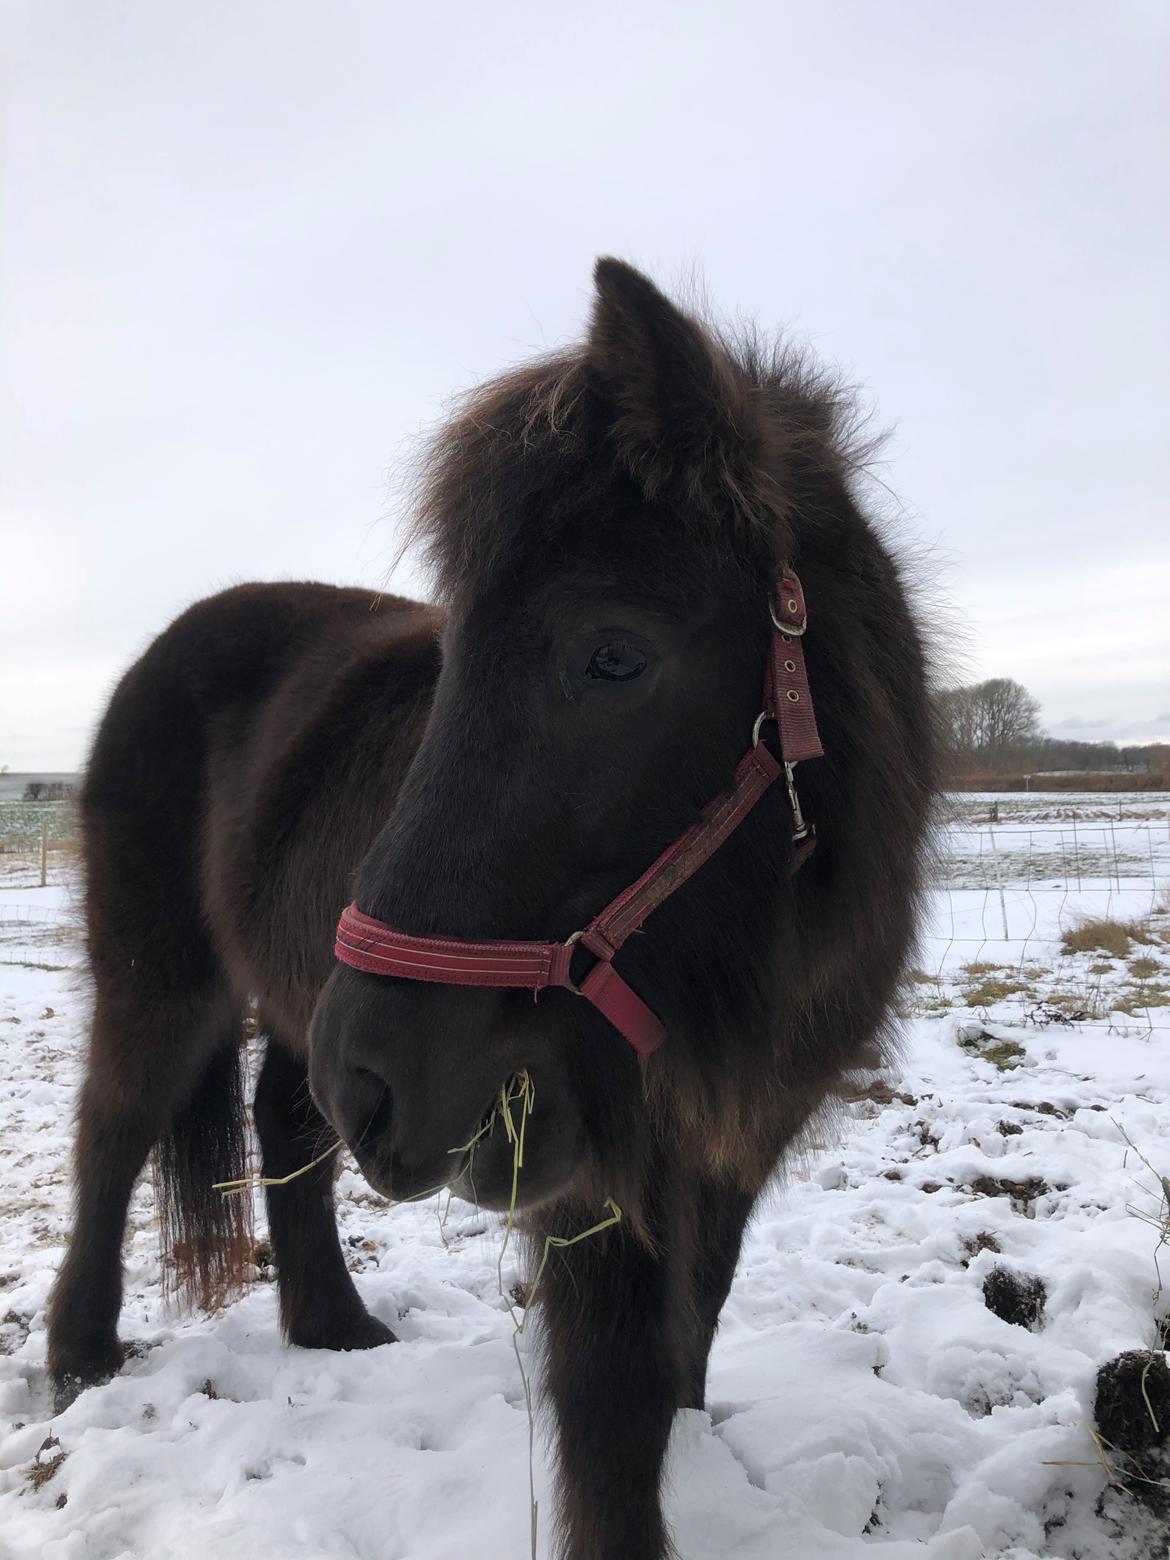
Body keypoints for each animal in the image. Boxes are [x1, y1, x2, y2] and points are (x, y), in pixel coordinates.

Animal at [50, 262, 942, 1560]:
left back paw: (335, 1329)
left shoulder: (727, 1149)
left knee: (289, 1125)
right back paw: (79, 1353)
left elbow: (689, 1335)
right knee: (114, 1128)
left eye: (614, 657)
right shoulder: (598, 1180)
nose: (381, 1077)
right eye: (451, 669)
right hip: (166, 977)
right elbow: (613, 1405)